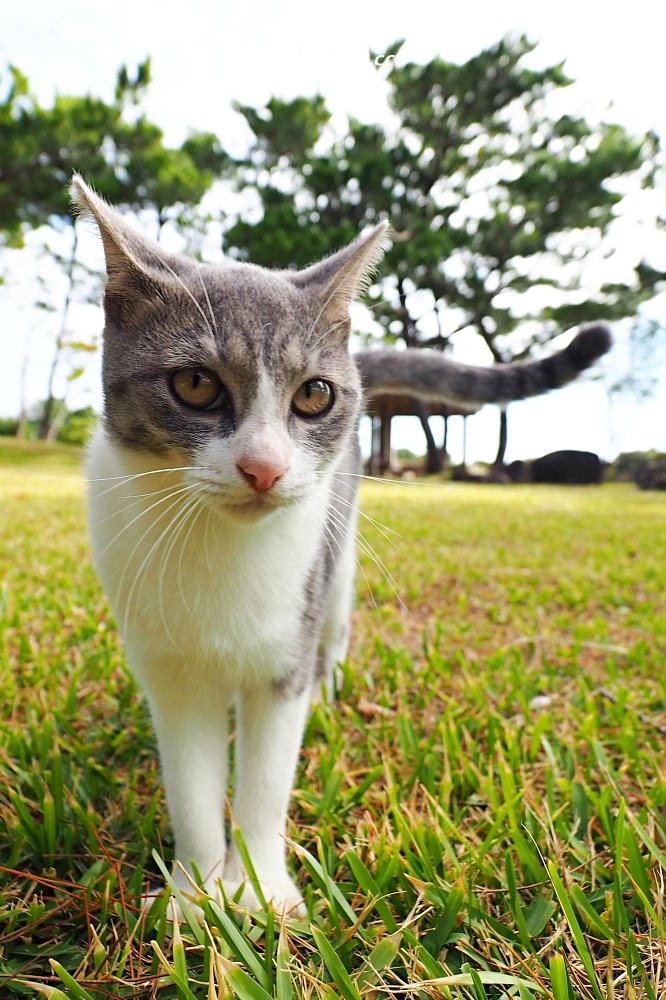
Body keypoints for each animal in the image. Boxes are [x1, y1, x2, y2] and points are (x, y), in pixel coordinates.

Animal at [70, 174, 608, 916]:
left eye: (314, 396)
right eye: (196, 384)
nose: (264, 467)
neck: (221, 548)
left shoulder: (286, 642)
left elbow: (266, 781)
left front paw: (260, 892)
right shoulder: (169, 668)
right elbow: (192, 784)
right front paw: (197, 897)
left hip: (339, 560)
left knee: (336, 625)